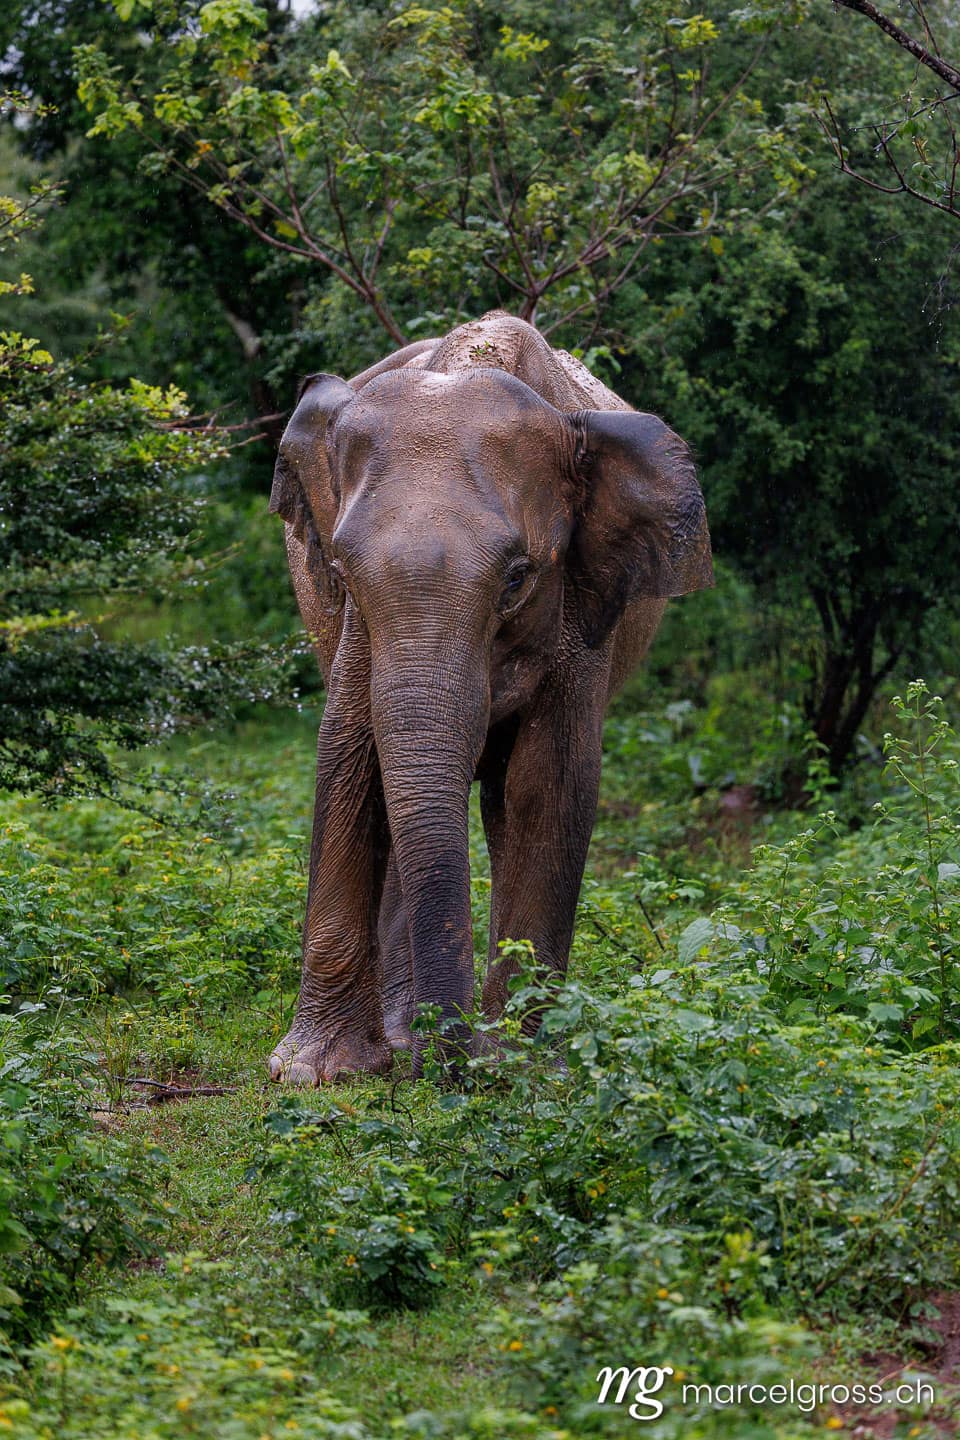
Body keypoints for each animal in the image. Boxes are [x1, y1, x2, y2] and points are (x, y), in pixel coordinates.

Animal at [267, 311, 712, 1085]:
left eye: (516, 579)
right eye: (341, 572)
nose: (450, 1064)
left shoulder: (579, 606)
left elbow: (546, 783)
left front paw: (520, 1071)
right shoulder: (355, 631)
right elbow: (348, 755)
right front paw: (313, 1074)